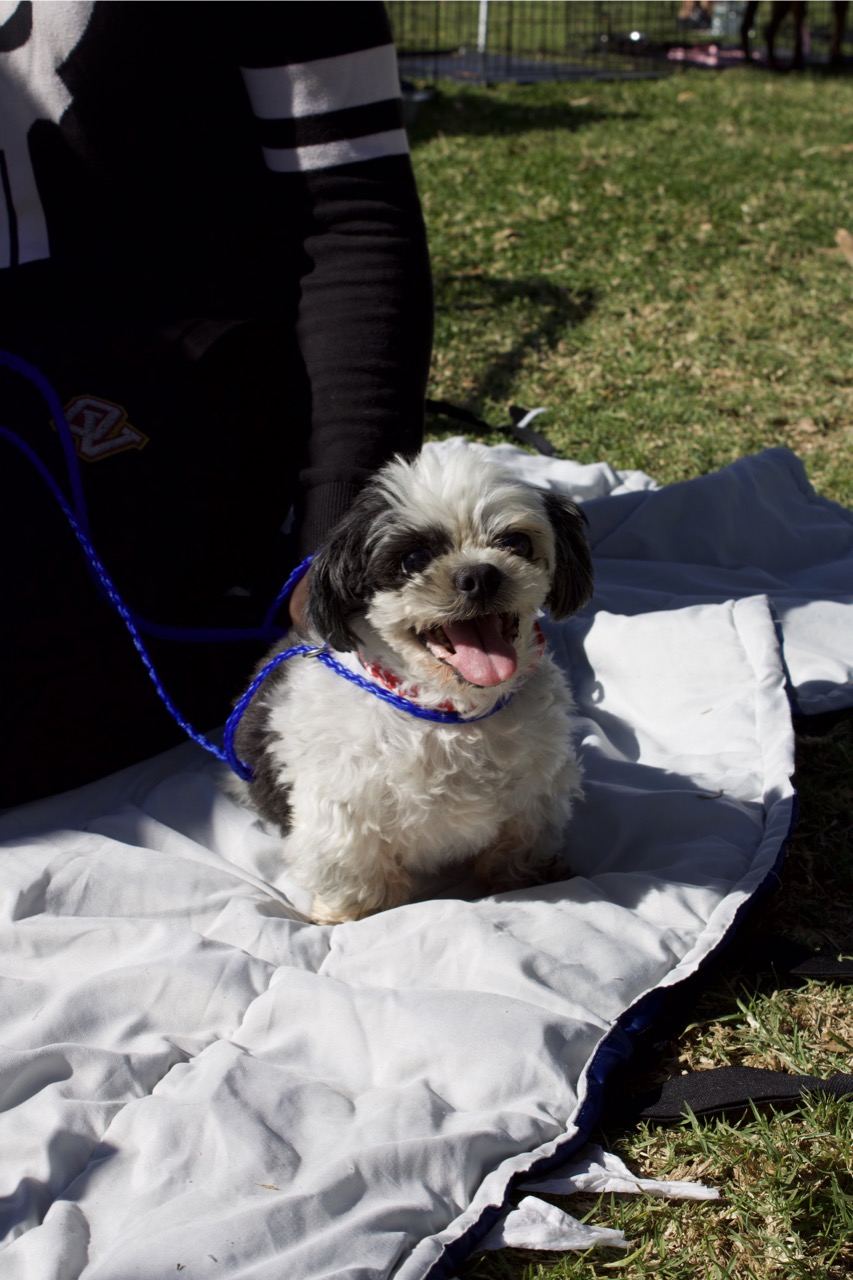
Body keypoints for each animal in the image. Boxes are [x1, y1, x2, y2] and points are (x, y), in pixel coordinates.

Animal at [233, 440, 591, 921]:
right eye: (413, 559)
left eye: (515, 542)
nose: (479, 574)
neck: (451, 713)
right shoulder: (340, 810)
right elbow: (355, 870)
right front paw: (350, 914)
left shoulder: (537, 792)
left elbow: (522, 841)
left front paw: (524, 876)